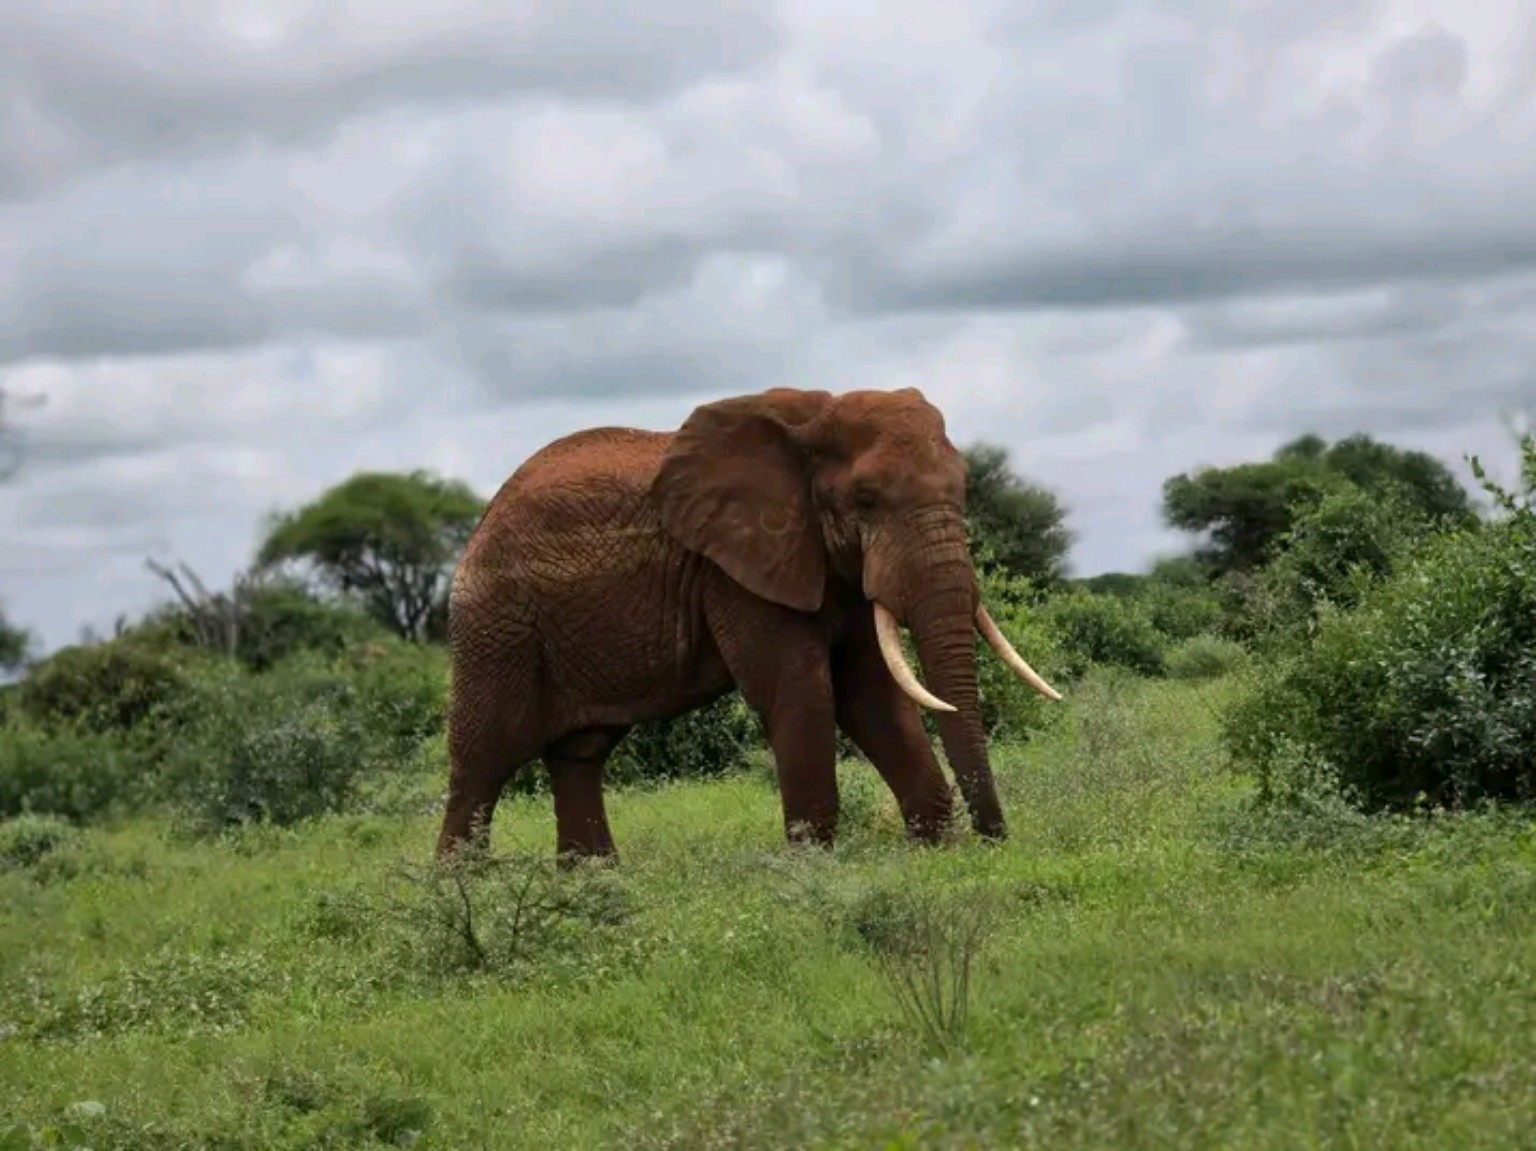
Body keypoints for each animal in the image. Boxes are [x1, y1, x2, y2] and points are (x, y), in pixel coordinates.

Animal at [435, 386, 1061, 863]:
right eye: (864, 499)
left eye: (963, 488)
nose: (996, 843)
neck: (811, 421)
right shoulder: (736, 571)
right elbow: (801, 692)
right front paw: (815, 872)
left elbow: (873, 694)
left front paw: (936, 855)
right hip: (498, 624)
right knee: (483, 758)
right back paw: (460, 891)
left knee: (579, 753)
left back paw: (593, 883)